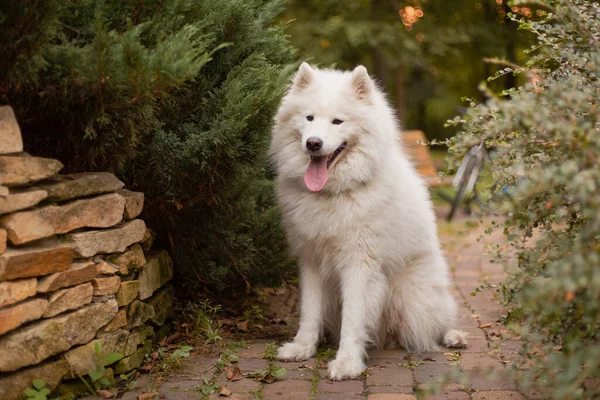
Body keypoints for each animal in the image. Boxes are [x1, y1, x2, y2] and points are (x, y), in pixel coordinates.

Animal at [268, 63, 468, 382]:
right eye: (309, 118)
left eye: (338, 121)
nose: (313, 143)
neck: (334, 193)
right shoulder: (311, 261)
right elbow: (309, 311)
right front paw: (302, 348)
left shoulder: (359, 264)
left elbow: (353, 318)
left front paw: (347, 363)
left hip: (415, 301)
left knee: (435, 326)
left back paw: (453, 336)